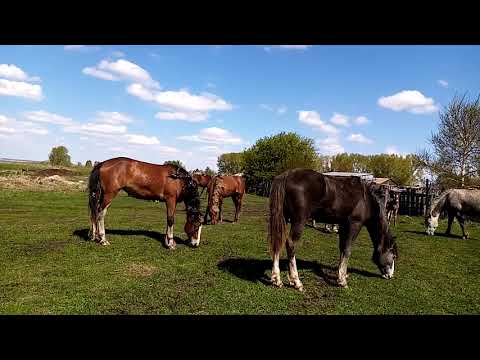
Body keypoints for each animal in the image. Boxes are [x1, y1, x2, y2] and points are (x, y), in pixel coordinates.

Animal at [266, 169, 398, 290]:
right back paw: (296, 281)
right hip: (299, 221)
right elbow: (347, 249)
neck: (367, 200)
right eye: (393, 256)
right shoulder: (354, 224)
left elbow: (342, 248)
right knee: (291, 244)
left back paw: (277, 279)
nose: (390, 275)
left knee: (278, 242)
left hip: (283, 218)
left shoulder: (343, 226)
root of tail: (287, 175)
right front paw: (342, 281)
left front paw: (341, 275)